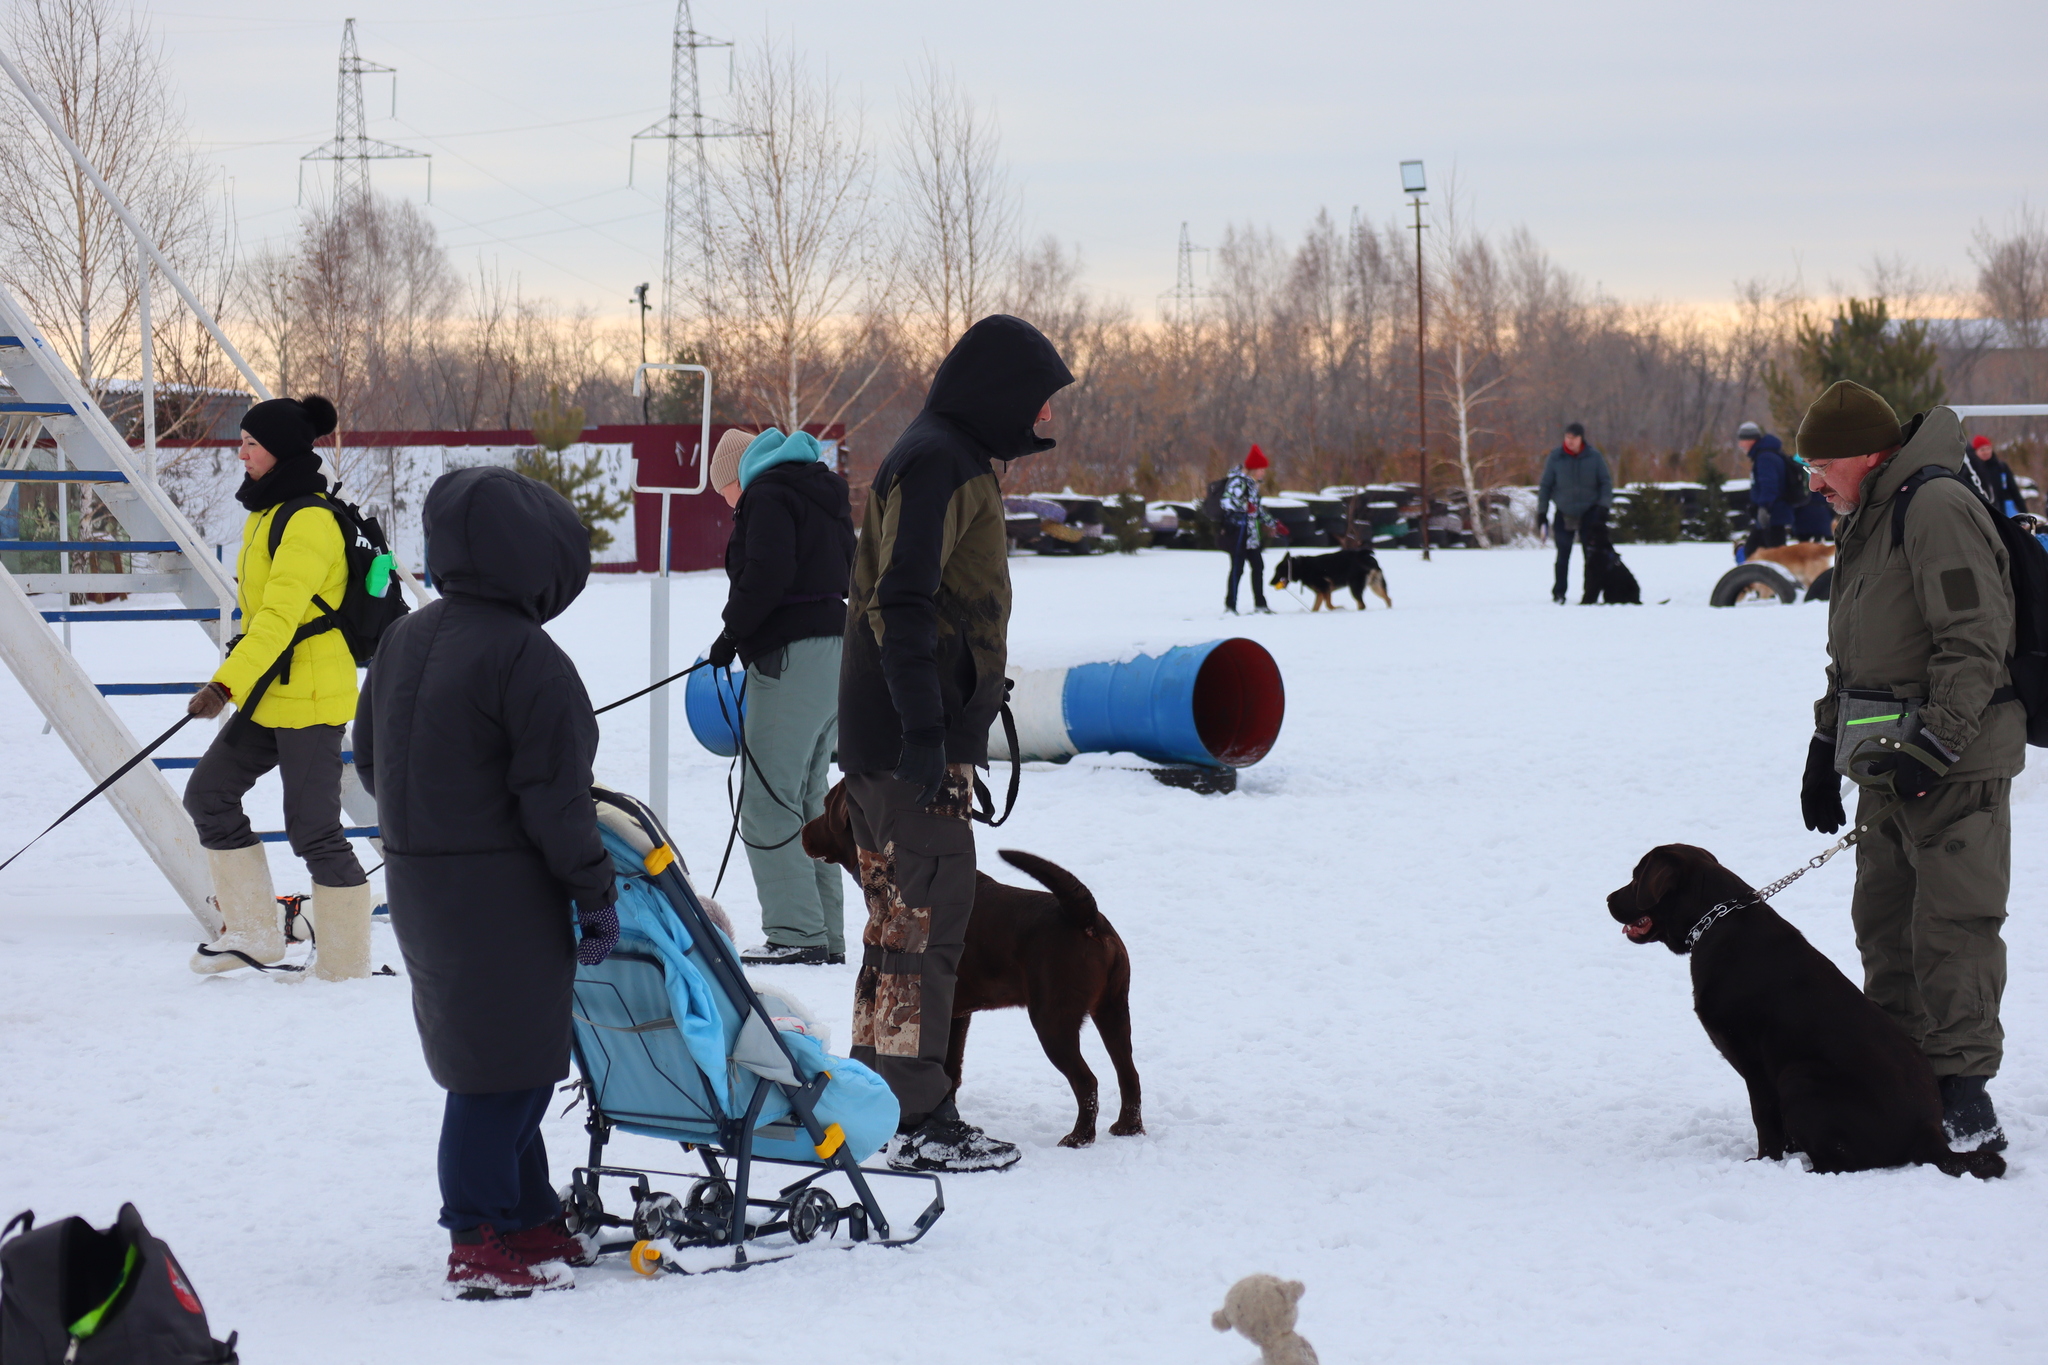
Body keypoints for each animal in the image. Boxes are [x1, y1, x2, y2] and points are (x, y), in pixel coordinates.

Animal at [798, 785, 1146, 1146]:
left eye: (825, 806)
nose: (803, 831)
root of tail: (1087, 917)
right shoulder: (956, 1014)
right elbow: (951, 1071)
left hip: (1054, 1019)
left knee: (1087, 1081)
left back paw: (1079, 1137)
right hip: (1113, 1010)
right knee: (1129, 1073)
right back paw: (1128, 1127)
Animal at [1261, 540, 1392, 609]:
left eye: (1277, 571)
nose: (1270, 583)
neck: (1300, 566)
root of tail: (1365, 556)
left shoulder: (1325, 588)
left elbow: (1329, 605)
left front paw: (1338, 608)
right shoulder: (1321, 592)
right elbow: (1316, 608)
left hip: (1355, 587)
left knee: (1362, 604)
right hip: (1375, 586)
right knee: (1388, 598)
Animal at [1605, 839, 2007, 1178]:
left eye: (1637, 877)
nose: (1608, 899)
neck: (1718, 920)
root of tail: (1929, 1133)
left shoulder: (1757, 1068)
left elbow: (1766, 1124)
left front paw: (1763, 1163)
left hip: (1799, 1077)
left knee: (1840, 1164)